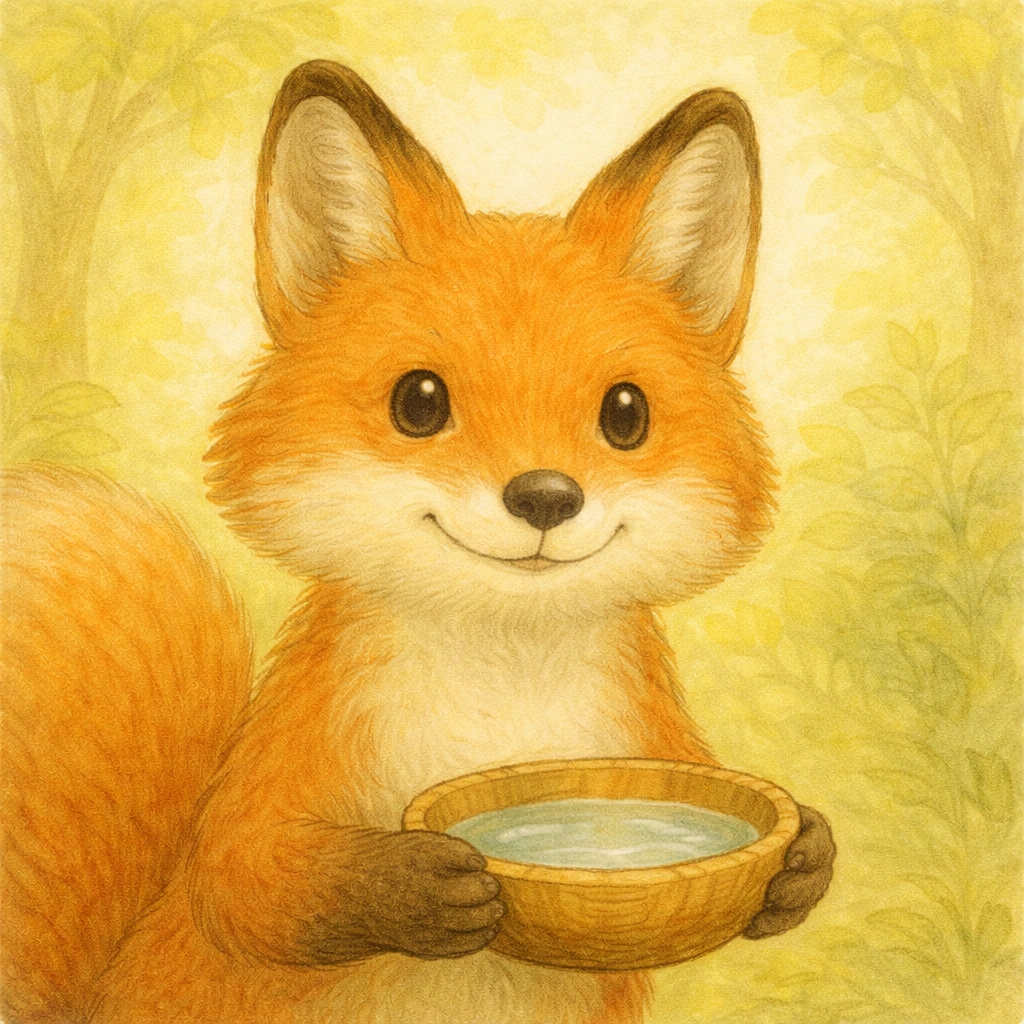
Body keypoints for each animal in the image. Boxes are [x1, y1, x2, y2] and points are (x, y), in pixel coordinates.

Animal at [1, 61, 835, 1024]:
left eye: (626, 414)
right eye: (420, 402)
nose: (545, 495)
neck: (501, 691)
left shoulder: (651, 742)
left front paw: (804, 855)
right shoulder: (286, 762)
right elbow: (244, 879)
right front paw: (411, 885)